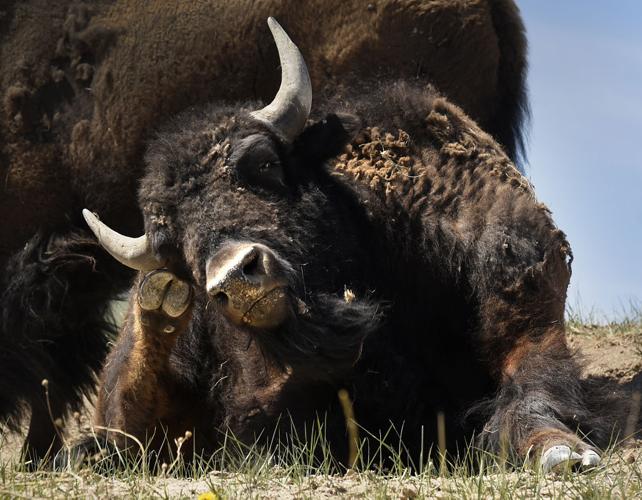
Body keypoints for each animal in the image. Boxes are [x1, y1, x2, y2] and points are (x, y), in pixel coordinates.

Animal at [83, 19, 621, 472]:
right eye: (175, 245)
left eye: (263, 163)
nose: (234, 275)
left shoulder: (521, 285)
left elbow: (530, 381)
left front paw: (562, 452)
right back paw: (158, 306)